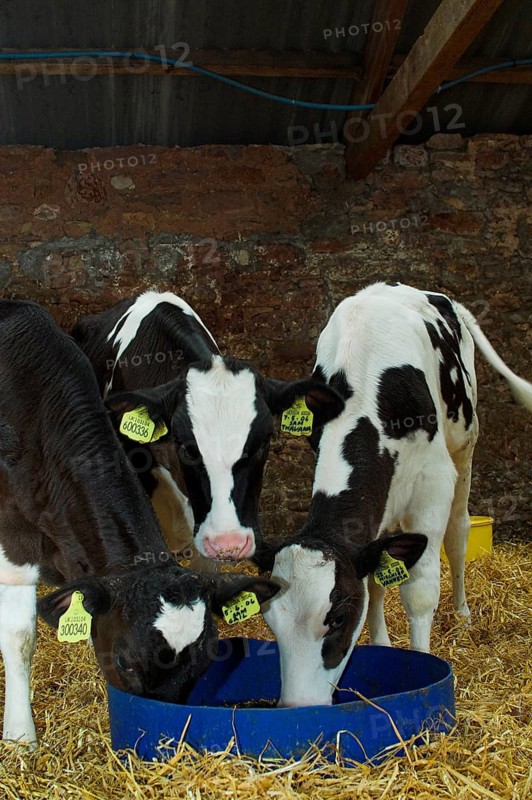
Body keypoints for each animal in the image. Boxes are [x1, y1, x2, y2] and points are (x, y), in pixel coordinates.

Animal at [263, 282, 532, 707]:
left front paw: (423, 666)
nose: (297, 707)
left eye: (337, 617)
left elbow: (419, 591)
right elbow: (375, 579)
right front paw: (382, 644)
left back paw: (462, 614)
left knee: (458, 533)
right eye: (271, 622)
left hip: (464, 444)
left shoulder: (432, 488)